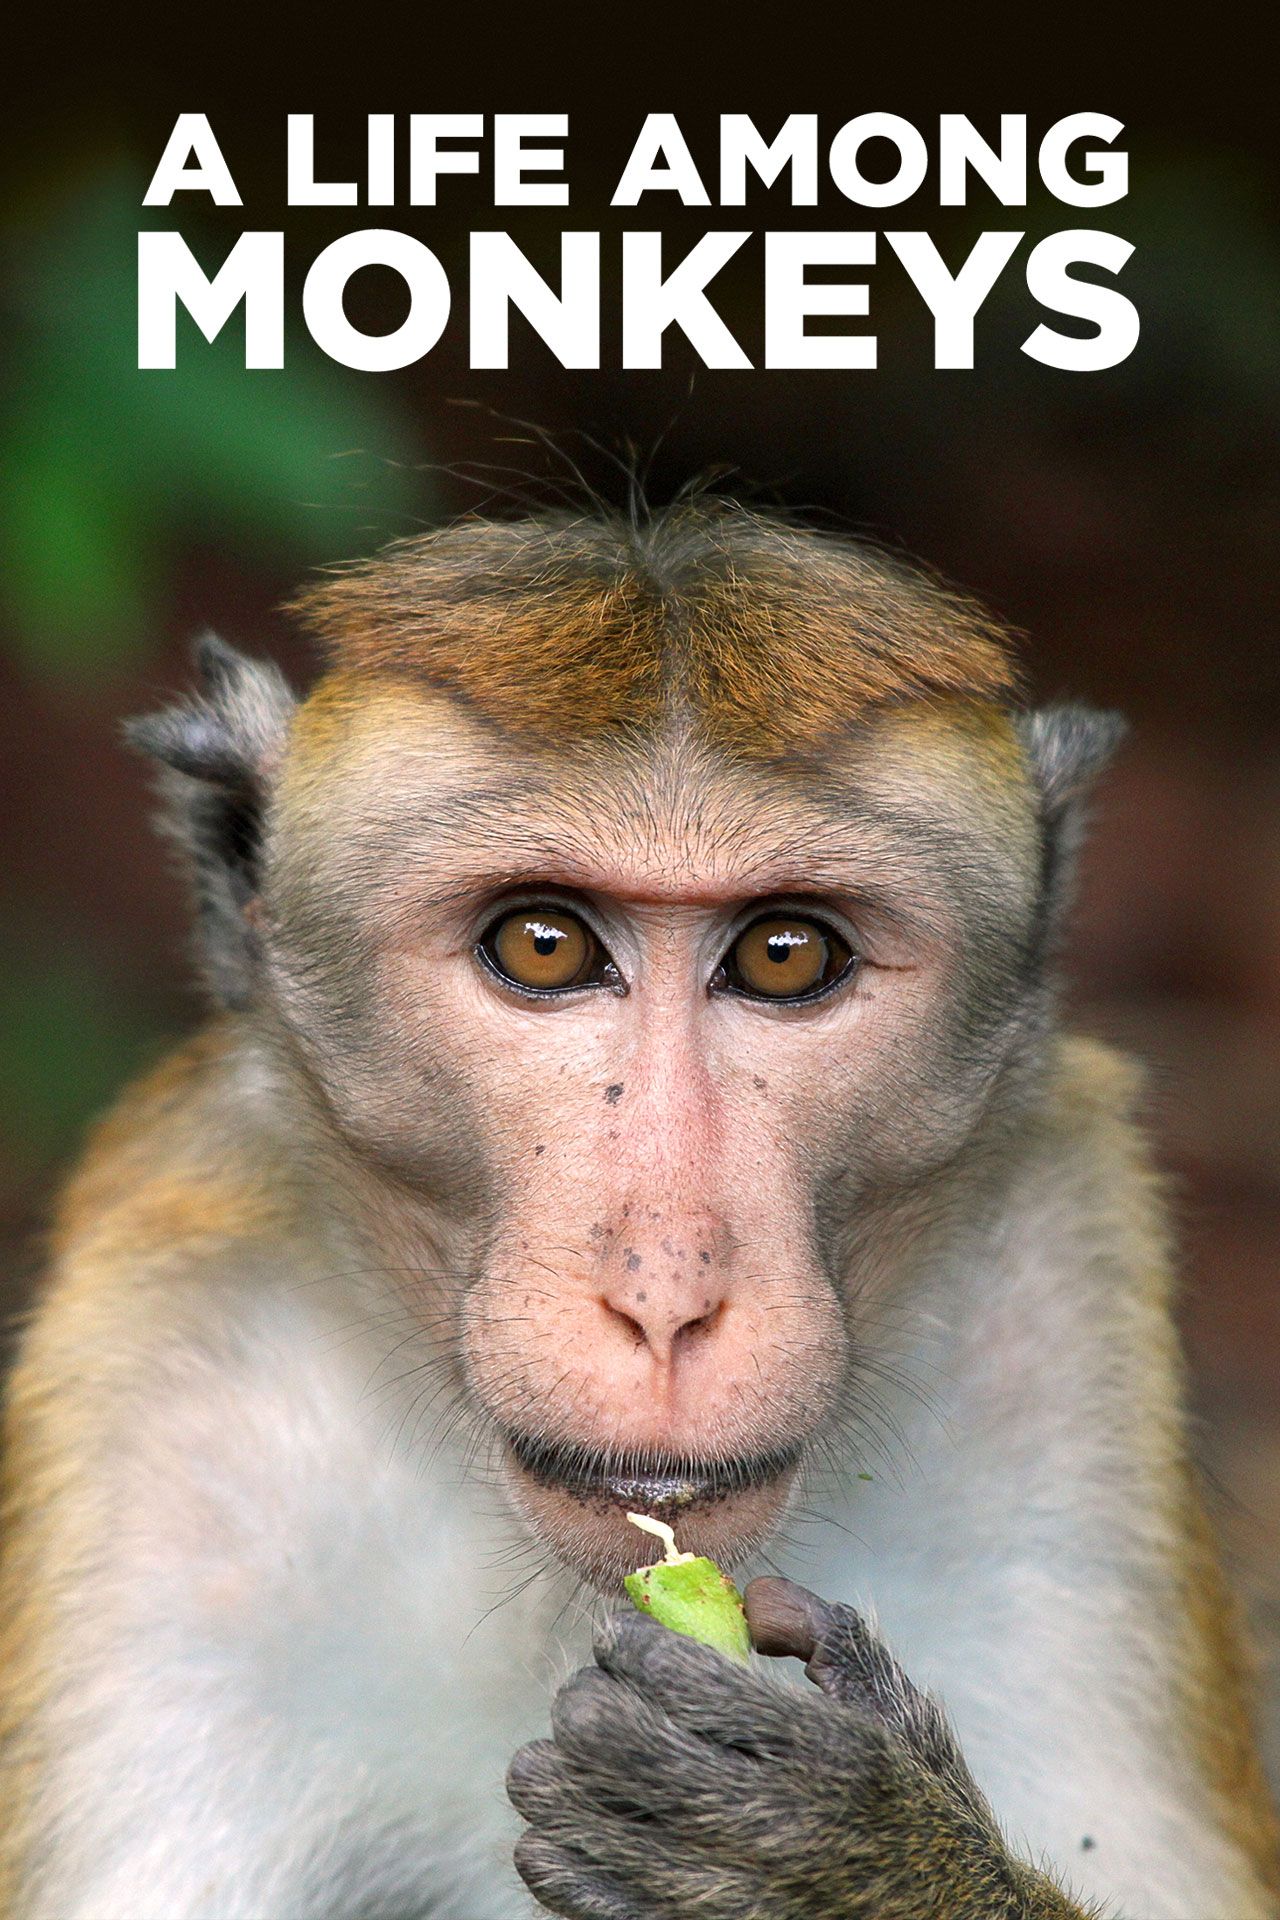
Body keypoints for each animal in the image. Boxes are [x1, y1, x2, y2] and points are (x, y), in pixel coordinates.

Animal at [0, 501, 1276, 1920]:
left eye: (785, 954)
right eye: (542, 944)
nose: (665, 1296)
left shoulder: (1060, 1316)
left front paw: (830, 1857)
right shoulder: (173, 1405)